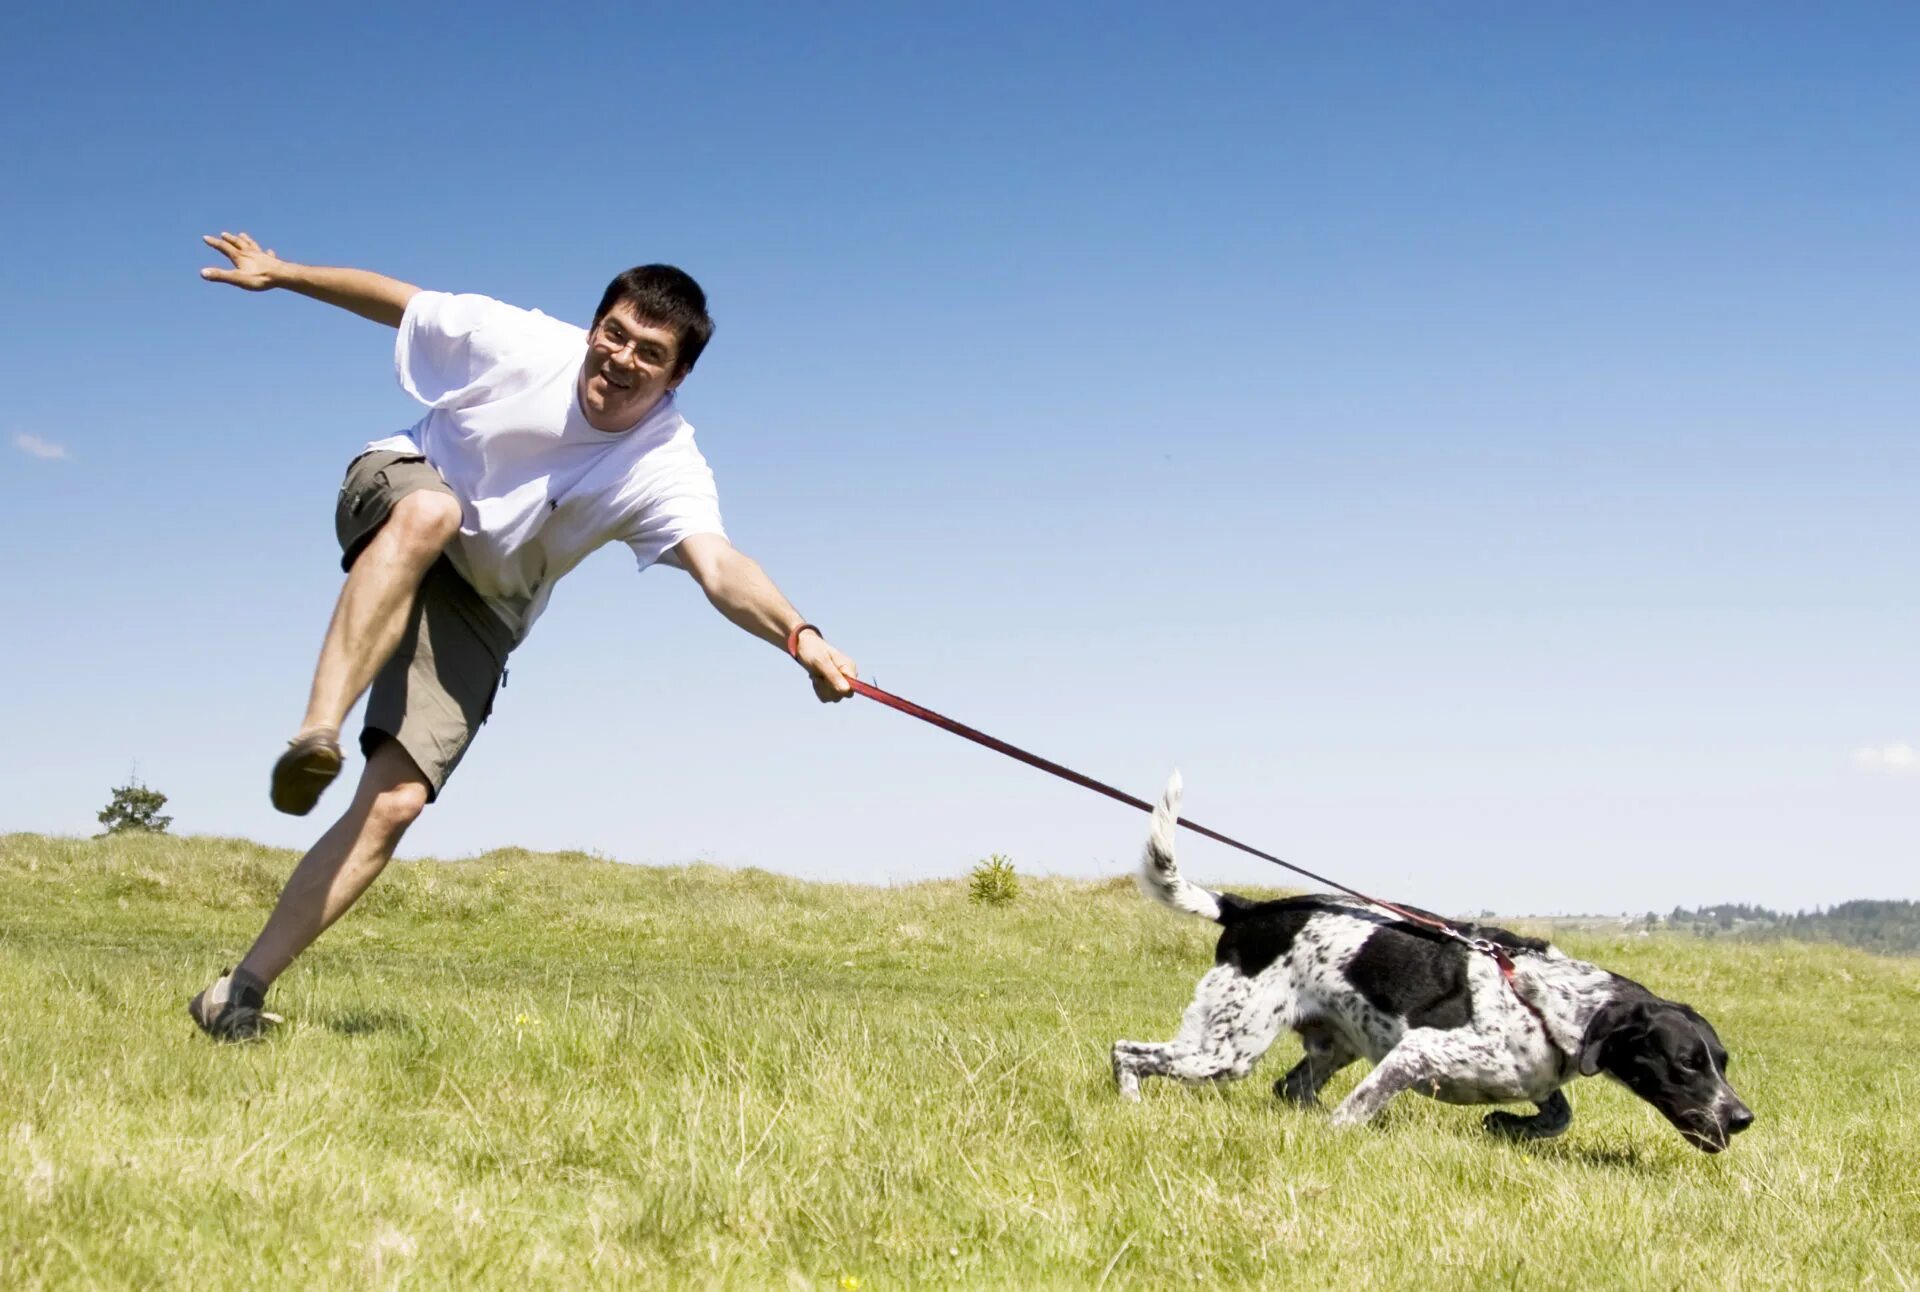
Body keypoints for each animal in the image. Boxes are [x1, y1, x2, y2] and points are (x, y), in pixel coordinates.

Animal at [1113, 771, 1758, 1151]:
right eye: (1686, 1062)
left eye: (1722, 1061)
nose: (1742, 1118)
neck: (1547, 1003)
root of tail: (1246, 911)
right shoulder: (1416, 1051)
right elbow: (1356, 1110)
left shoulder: (1531, 1076)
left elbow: (1558, 1114)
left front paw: (1507, 1126)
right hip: (1226, 1049)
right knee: (1126, 1051)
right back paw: (1130, 1105)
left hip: (1326, 1045)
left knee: (1289, 1089)